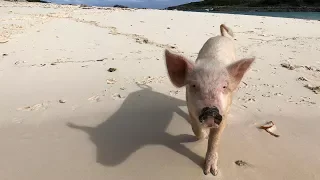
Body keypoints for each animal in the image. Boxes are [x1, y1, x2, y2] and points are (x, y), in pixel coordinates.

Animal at [164, 23, 254, 176]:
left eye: (224, 86)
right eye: (194, 85)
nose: (211, 110)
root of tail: (221, 36)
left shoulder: (224, 113)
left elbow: (215, 140)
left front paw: (212, 173)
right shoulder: (190, 107)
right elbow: (197, 130)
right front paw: (204, 135)